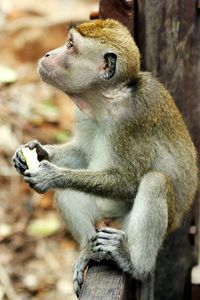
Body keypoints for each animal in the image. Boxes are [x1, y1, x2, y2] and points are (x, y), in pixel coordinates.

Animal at [12, 18, 198, 298]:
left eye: (70, 45)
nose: (47, 54)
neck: (106, 99)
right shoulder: (83, 113)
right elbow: (82, 154)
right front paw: (35, 151)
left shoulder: (133, 119)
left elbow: (129, 182)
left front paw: (51, 174)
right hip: (108, 212)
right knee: (67, 191)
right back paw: (91, 253)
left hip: (141, 224)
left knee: (154, 182)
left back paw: (134, 264)